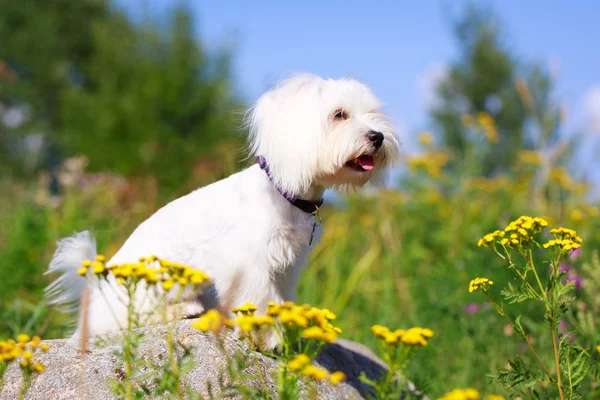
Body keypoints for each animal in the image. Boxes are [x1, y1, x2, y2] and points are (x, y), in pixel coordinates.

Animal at [43, 74, 398, 344]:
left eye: (373, 114)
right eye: (339, 115)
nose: (378, 136)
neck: (284, 195)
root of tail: (93, 293)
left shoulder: (287, 265)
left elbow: (279, 299)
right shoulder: (248, 264)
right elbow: (261, 299)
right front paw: (267, 339)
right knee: (130, 320)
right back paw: (180, 310)